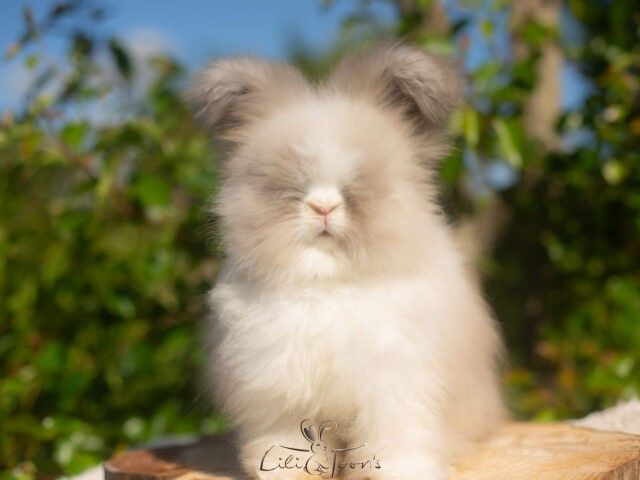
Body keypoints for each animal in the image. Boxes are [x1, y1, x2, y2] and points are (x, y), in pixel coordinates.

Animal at [188, 42, 508, 480]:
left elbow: (397, 440)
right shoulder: (279, 392)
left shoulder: (397, 386)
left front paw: (404, 472)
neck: (328, 282)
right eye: (291, 184)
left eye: (361, 179)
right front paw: (287, 473)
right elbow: (284, 441)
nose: (323, 207)